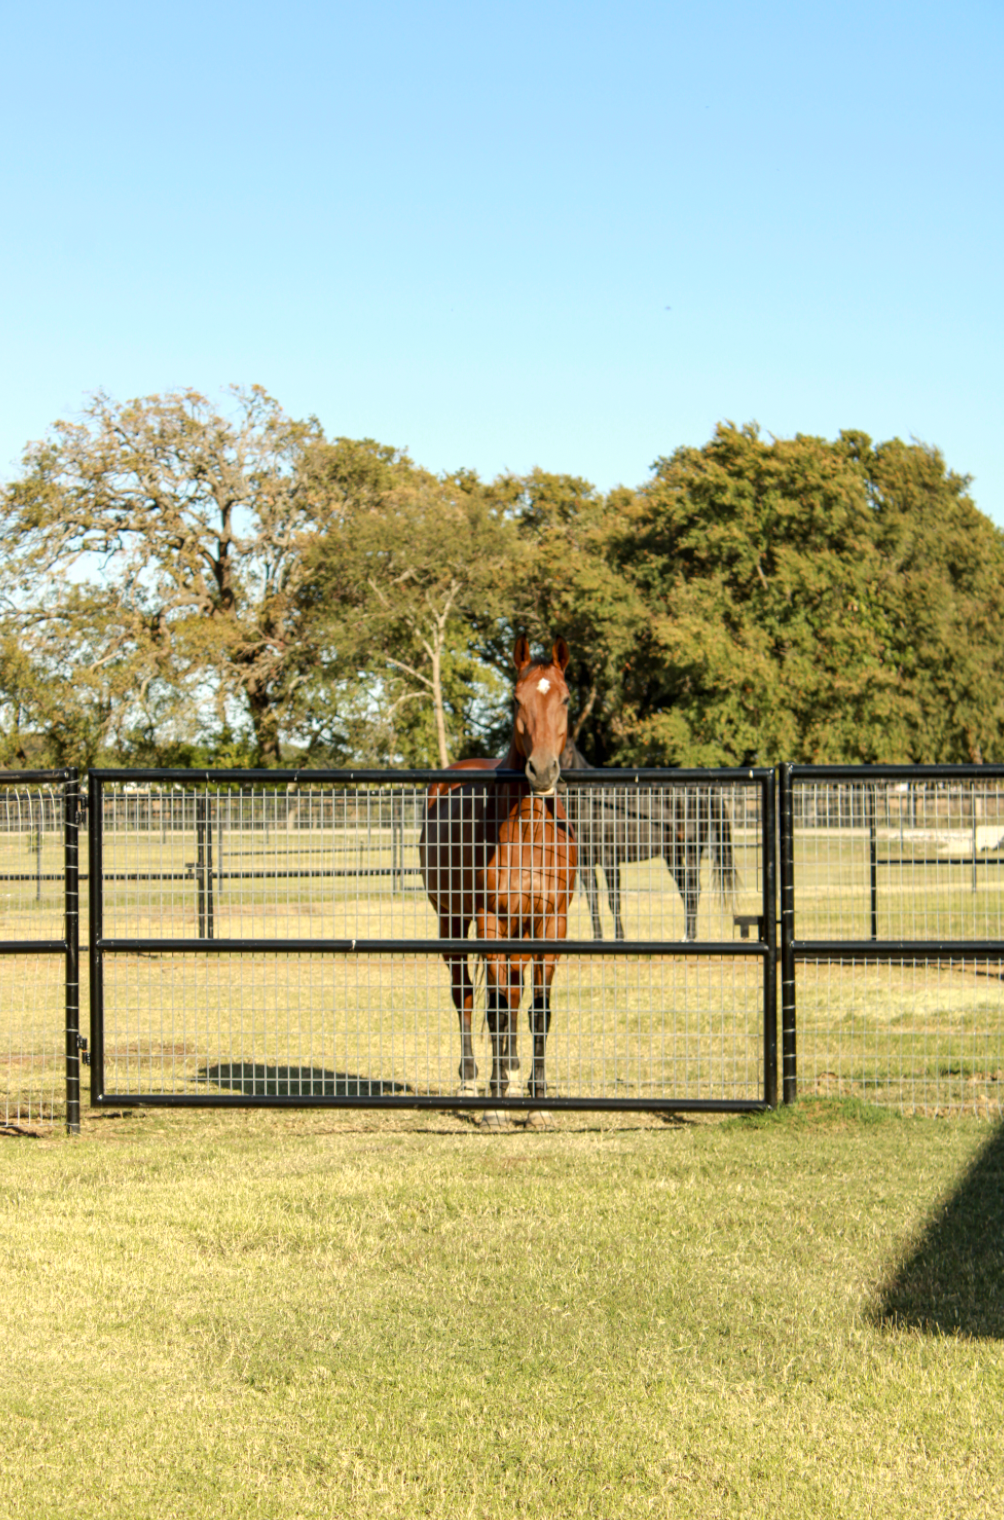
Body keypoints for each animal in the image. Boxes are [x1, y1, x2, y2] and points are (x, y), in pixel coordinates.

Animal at [418, 636, 578, 1123]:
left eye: (566, 698)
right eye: (515, 699)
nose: (541, 771)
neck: (526, 833)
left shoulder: (551, 923)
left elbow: (537, 1011)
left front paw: (538, 1099)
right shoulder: (490, 920)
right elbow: (493, 1011)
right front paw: (495, 1103)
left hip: (519, 932)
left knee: (512, 991)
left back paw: (511, 1065)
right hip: (453, 921)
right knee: (467, 996)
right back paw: (472, 1081)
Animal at [558, 739, 737, 941]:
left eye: (569, 751)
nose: (559, 785)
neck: (592, 807)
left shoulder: (610, 860)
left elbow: (614, 900)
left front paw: (619, 937)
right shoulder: (585, 864)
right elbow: (592, 900)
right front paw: (598, 938)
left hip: (691, 852)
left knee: (692, 889)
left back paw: (689, 936)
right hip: (672, 856)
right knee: (686, 889)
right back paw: (686, 934)